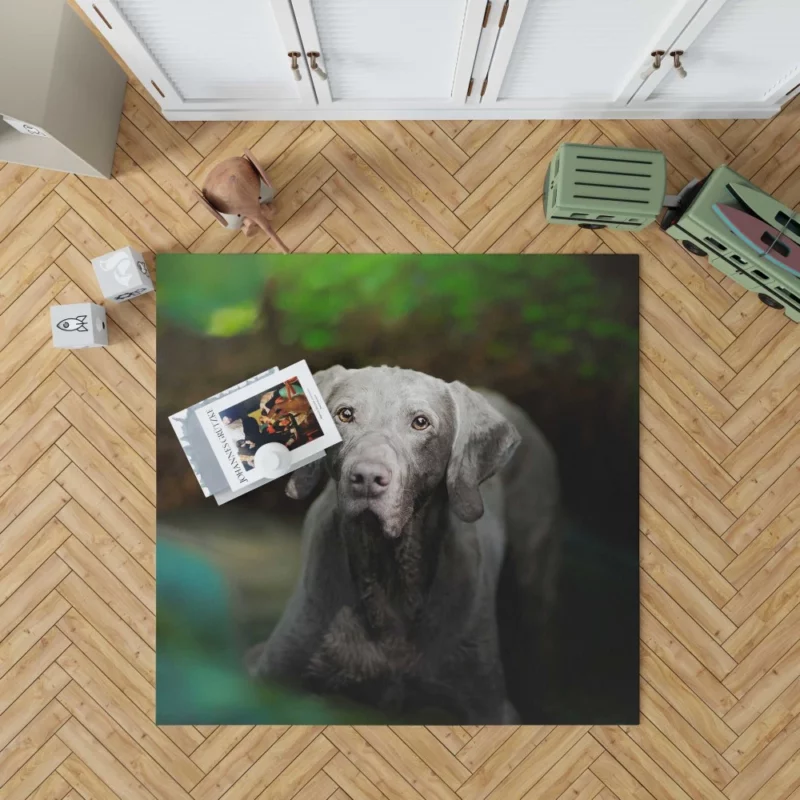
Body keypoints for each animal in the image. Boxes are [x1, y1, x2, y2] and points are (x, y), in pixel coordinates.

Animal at [247, 366, 560, 720]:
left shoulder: (489, 705)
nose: (367, 478)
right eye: (345, 414)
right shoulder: (272, 673)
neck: (389, 579)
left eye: (420, 422)